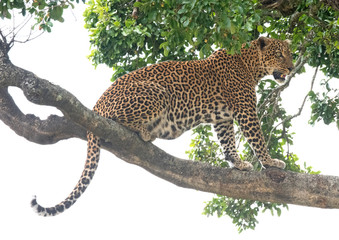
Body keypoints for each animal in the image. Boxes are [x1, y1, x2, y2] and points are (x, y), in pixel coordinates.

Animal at [31, 36, 294, 217]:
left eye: (290, 54)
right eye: (280, 55)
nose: (292, 68)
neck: (251, 65)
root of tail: (96, 105)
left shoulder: (223, 118)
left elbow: (228, 142)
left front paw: (238, 164)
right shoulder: (245, 110)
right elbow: (257, 138)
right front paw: (271, 162)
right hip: (157, 92)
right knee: (118, 121)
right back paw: (145, 132)